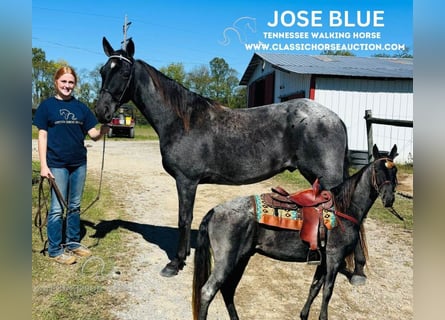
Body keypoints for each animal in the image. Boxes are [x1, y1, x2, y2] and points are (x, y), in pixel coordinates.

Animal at [95, 37, 352, 278]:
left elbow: (184, 218)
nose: (101, 111)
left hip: (327, 180)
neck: (182, 121)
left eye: (124, 72)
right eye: (103, 71)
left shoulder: (186, 181)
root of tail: (336, 118)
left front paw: (175, 263)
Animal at [193, 145, 398, 320]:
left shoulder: (324, 261)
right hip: (226, 261)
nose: (388, 198)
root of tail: (215, 211)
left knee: (228, 290)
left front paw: (304, 315)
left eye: (394, 171)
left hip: (241, 259)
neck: (343, 209)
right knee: (208, 292)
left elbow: (314, 288)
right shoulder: (334, 259)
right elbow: (327, 291)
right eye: (378, 170)